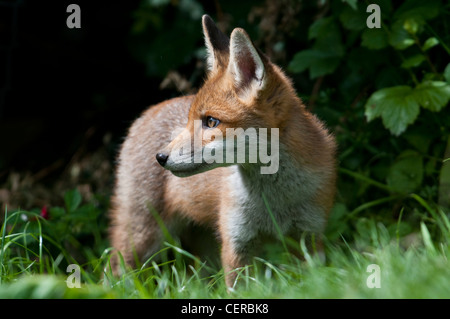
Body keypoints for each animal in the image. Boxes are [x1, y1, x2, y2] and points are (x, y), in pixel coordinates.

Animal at [108, 15, 334, 288]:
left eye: (211, 122)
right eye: (190, 121)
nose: (160, 157)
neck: (274, 202)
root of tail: (146, 112)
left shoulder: (308, 235)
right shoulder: (237, 241)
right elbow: (238, 288)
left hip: (201, 248)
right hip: (143, 236)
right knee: (117, 270)